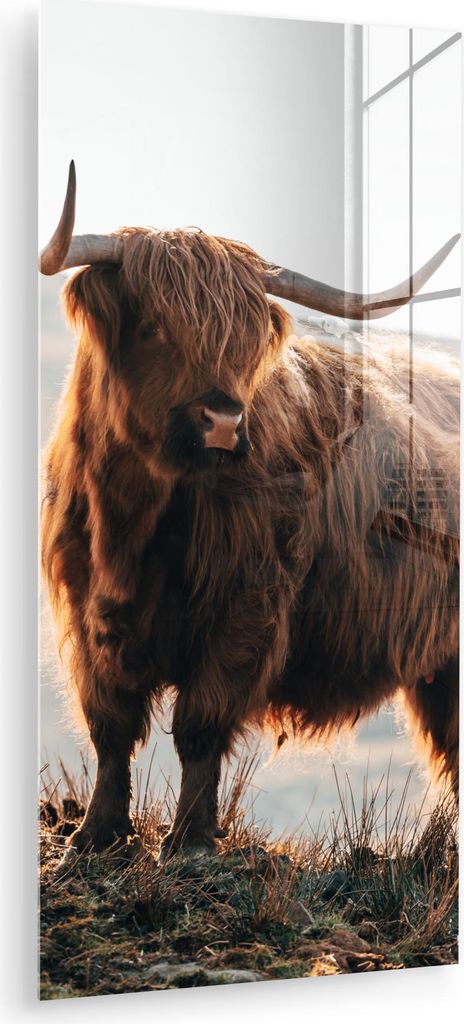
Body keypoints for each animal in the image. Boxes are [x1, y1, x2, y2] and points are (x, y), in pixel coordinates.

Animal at [40, 163, 459, 863]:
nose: (224, 419)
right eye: (154, 327)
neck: (136, 520)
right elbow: (111, 728)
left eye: (242, 343)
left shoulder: (245, 606)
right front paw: (94, 836)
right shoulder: (87, 610)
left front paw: (187, 842)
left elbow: (199, 728)